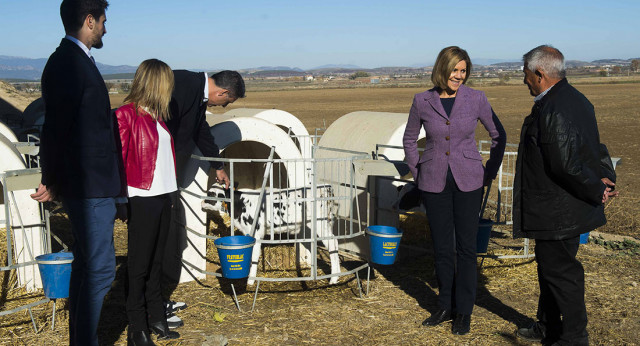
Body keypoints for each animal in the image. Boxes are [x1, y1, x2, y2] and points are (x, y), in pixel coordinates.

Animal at [204, 184, 342, 284]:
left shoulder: (256, 234)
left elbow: (254, 257)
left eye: (211, 194)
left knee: (332, 243)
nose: (201, 202)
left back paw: (333, 278)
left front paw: (250, 280)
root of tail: (325, 187)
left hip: (320, 223)